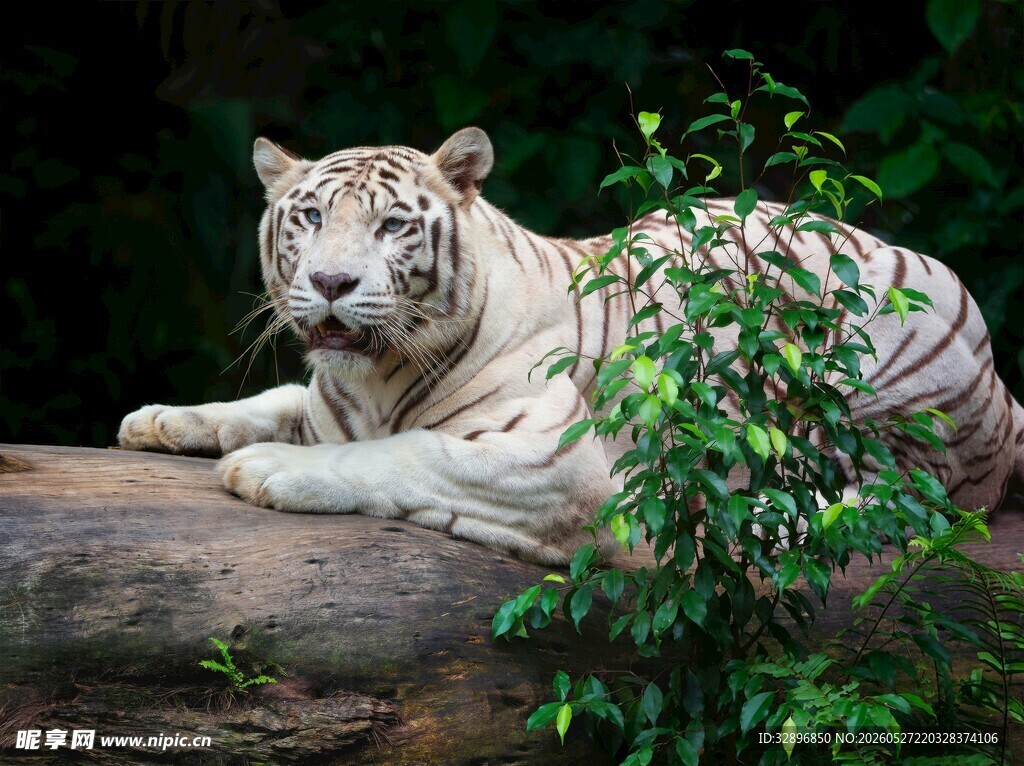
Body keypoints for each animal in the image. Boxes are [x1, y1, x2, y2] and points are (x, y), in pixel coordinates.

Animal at [118, 127, 1024, 565]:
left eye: (393, 226)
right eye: (309, 217)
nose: (333, 282)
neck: (372, 375)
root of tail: (1003, 391)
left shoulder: (553, 453)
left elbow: (404, 453)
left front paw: (269, 470)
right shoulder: (327, 398)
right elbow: (270, 402)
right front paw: (161, 420)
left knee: (900, 502)